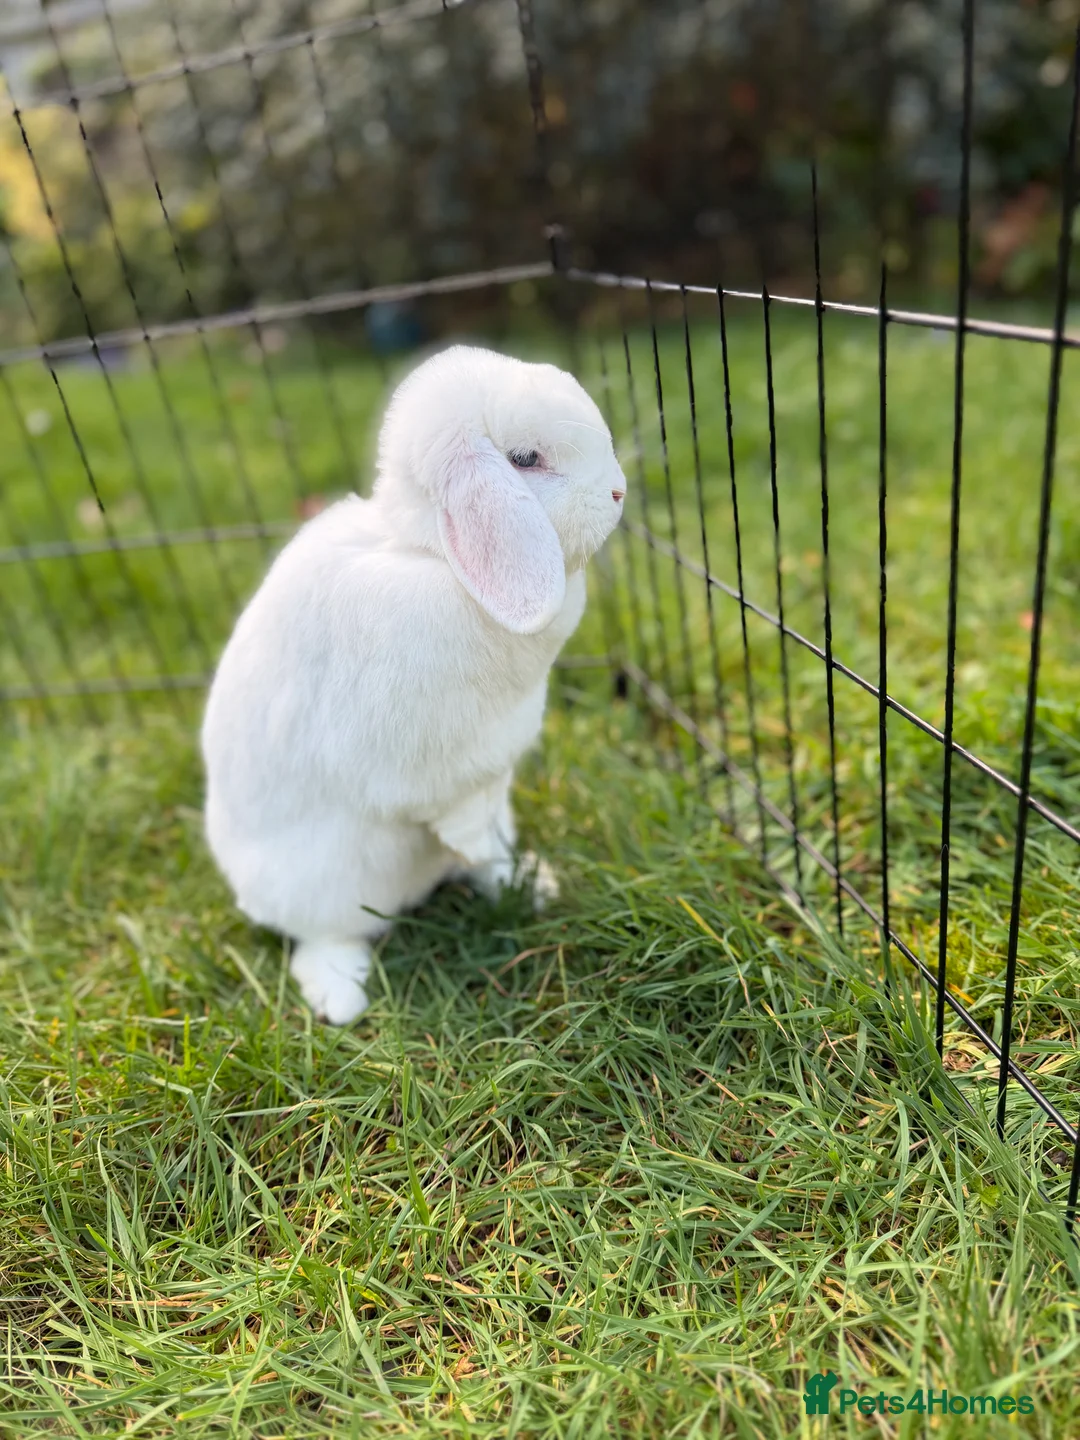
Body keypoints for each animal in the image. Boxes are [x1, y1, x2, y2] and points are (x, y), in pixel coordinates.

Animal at [201, 343, 627, 1025]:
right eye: (524, 460)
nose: (618, 492)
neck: (437, 559)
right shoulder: (431, 764)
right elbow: (455, 812)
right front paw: (477, 850)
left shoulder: (493, 762)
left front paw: (503, 869)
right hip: (320, 890)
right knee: (322, 938)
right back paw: (342, 997)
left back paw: (524, 882)